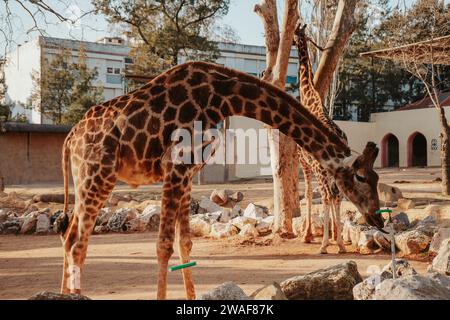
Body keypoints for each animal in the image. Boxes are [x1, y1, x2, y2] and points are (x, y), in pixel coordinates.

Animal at [54, 60, 382, 300]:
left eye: (377, 177)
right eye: (362, 177)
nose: (378, 218)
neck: (222, 97)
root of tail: (70, 138)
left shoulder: (186, 174)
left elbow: (185, 243)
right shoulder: (175, 167)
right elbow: (163, 245)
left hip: (87, 180)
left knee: (69, 236)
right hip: (97, 176)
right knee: (78, 241)